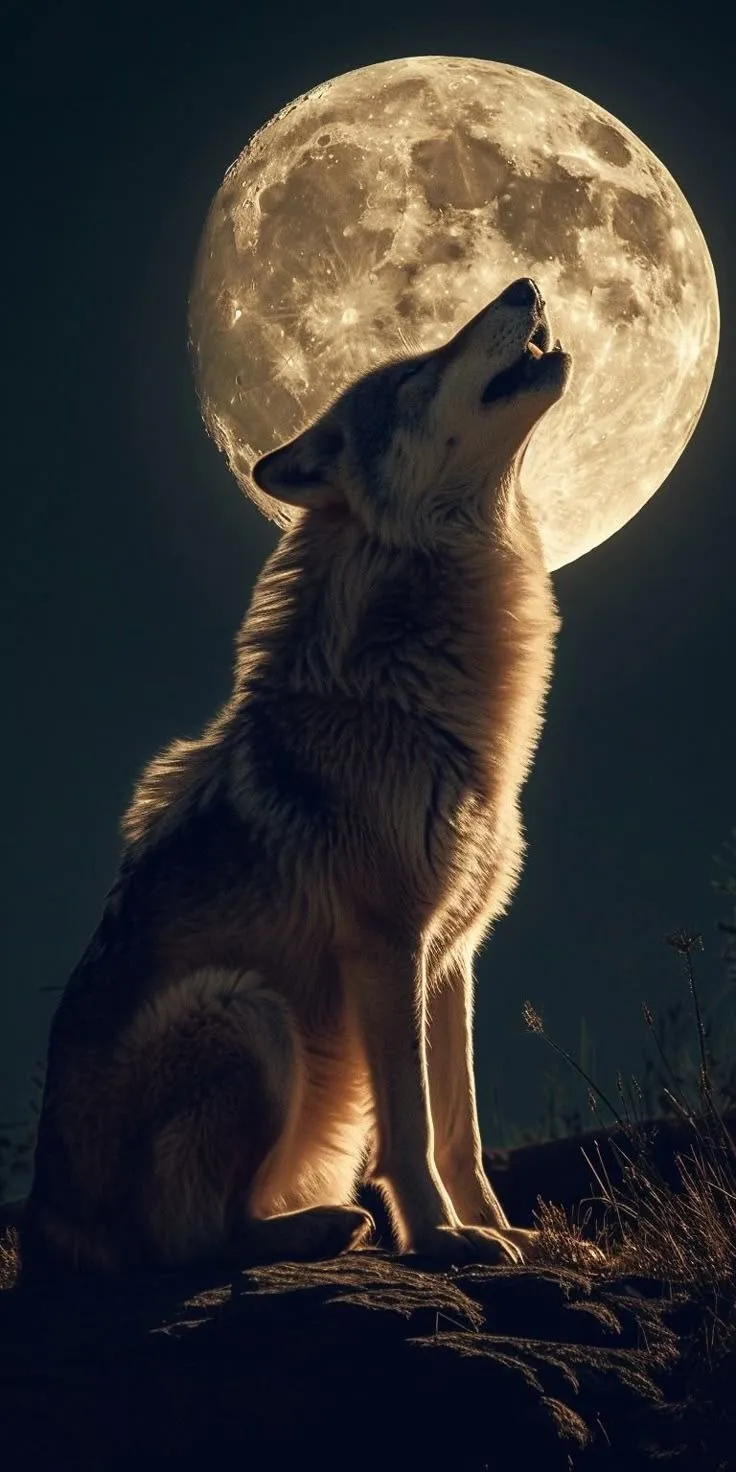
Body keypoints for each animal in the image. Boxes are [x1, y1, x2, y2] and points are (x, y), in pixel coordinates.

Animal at [26, 276, 572, 1272]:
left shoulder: (452, 956)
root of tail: (46, 1231)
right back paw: (322, 1226)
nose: (524, 283)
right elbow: (409, 1127)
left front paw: (505, 1231)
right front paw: (441, 1239)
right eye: (418, 374)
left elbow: (461, 1129)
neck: (412, 702)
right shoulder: (387, 944)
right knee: (194, 1239)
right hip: (247, 1008)